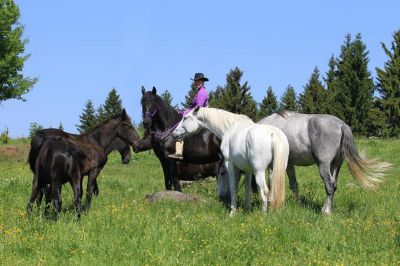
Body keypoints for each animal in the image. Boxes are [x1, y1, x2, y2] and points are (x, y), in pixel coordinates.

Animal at [256, 110, 390, 214]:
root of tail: (341, 125)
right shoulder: (289, 164)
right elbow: (293, 184)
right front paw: (297, 203)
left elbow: (272, 181)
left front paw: (271, 201)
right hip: (336, 165)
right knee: (334, 185)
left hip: (323, 165)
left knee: (329, 185)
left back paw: (326, 211)